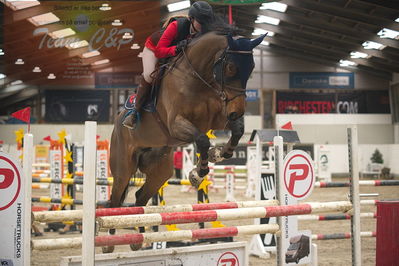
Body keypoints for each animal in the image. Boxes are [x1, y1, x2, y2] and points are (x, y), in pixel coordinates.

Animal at [104, 30, 266, 251]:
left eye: (251, 68)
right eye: (231, 67)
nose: (238, 112)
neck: (199, 78)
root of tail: (118, 122)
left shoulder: (218, 118)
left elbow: (237, 130)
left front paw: (218, 154)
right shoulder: (177, 124)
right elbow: (202, 140)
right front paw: (198, 174)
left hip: (160, 171)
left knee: (140, 198)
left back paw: (138, 238)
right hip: (123, 168)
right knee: (115, 200)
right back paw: (109, 242)